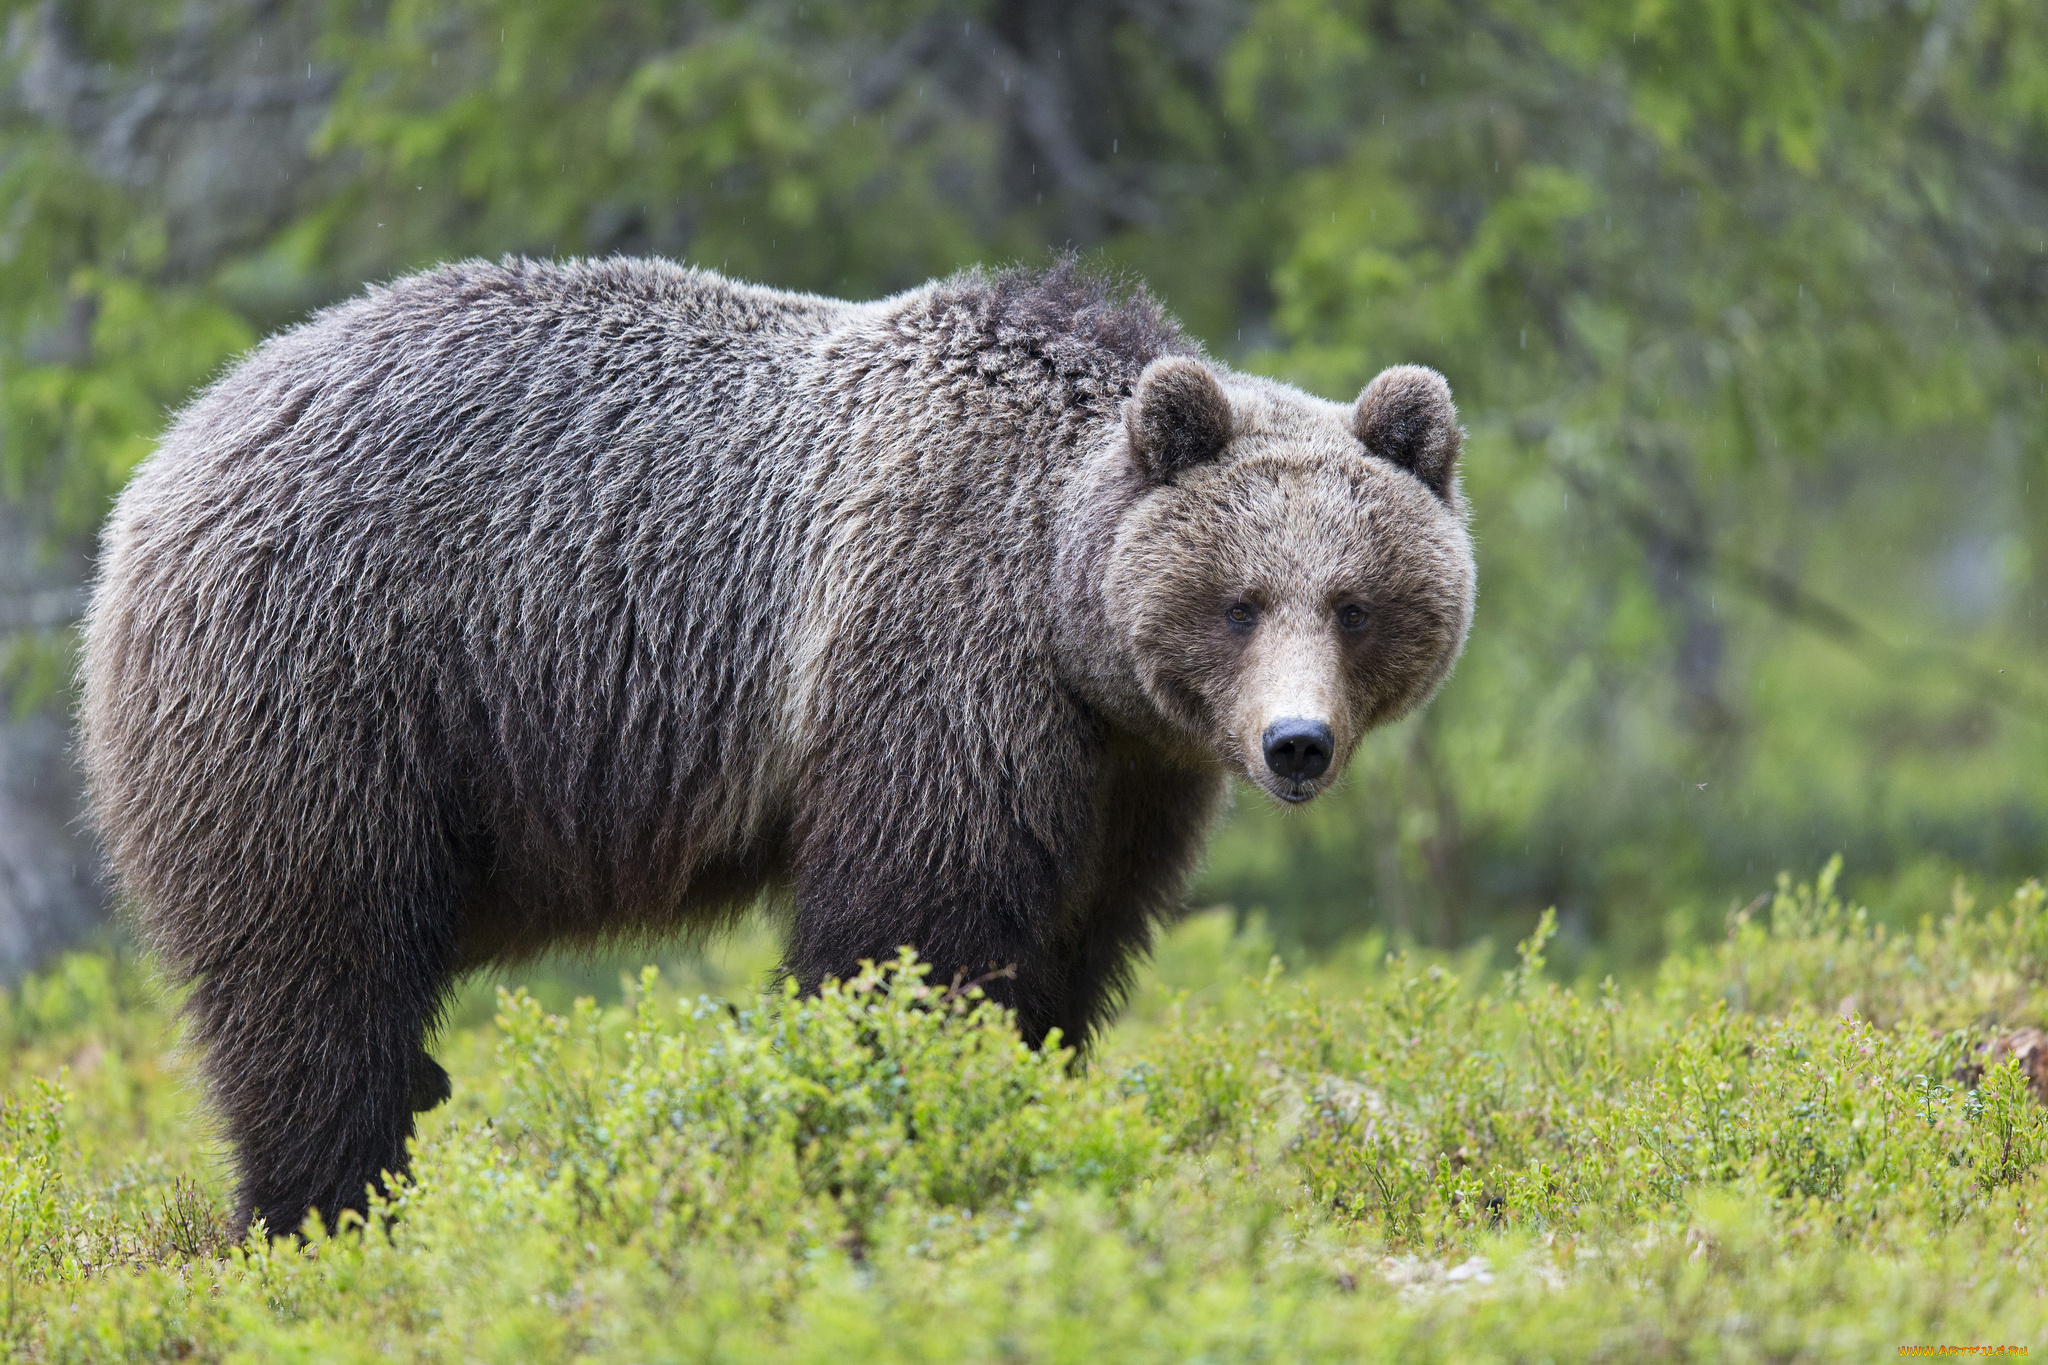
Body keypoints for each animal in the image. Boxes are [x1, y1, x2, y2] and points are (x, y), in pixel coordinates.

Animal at [75, 255, 1474, 1236]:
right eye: (1239, 600)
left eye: (1353, 602)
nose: (1294, 746)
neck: (1064, 623)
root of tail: (176, 446)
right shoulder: (930, 657)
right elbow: (907, 933)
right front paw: (882, 1128)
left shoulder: (1125, 776)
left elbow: (1068, 948)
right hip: (330, 690)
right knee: (318, 976)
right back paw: (324, 1217)